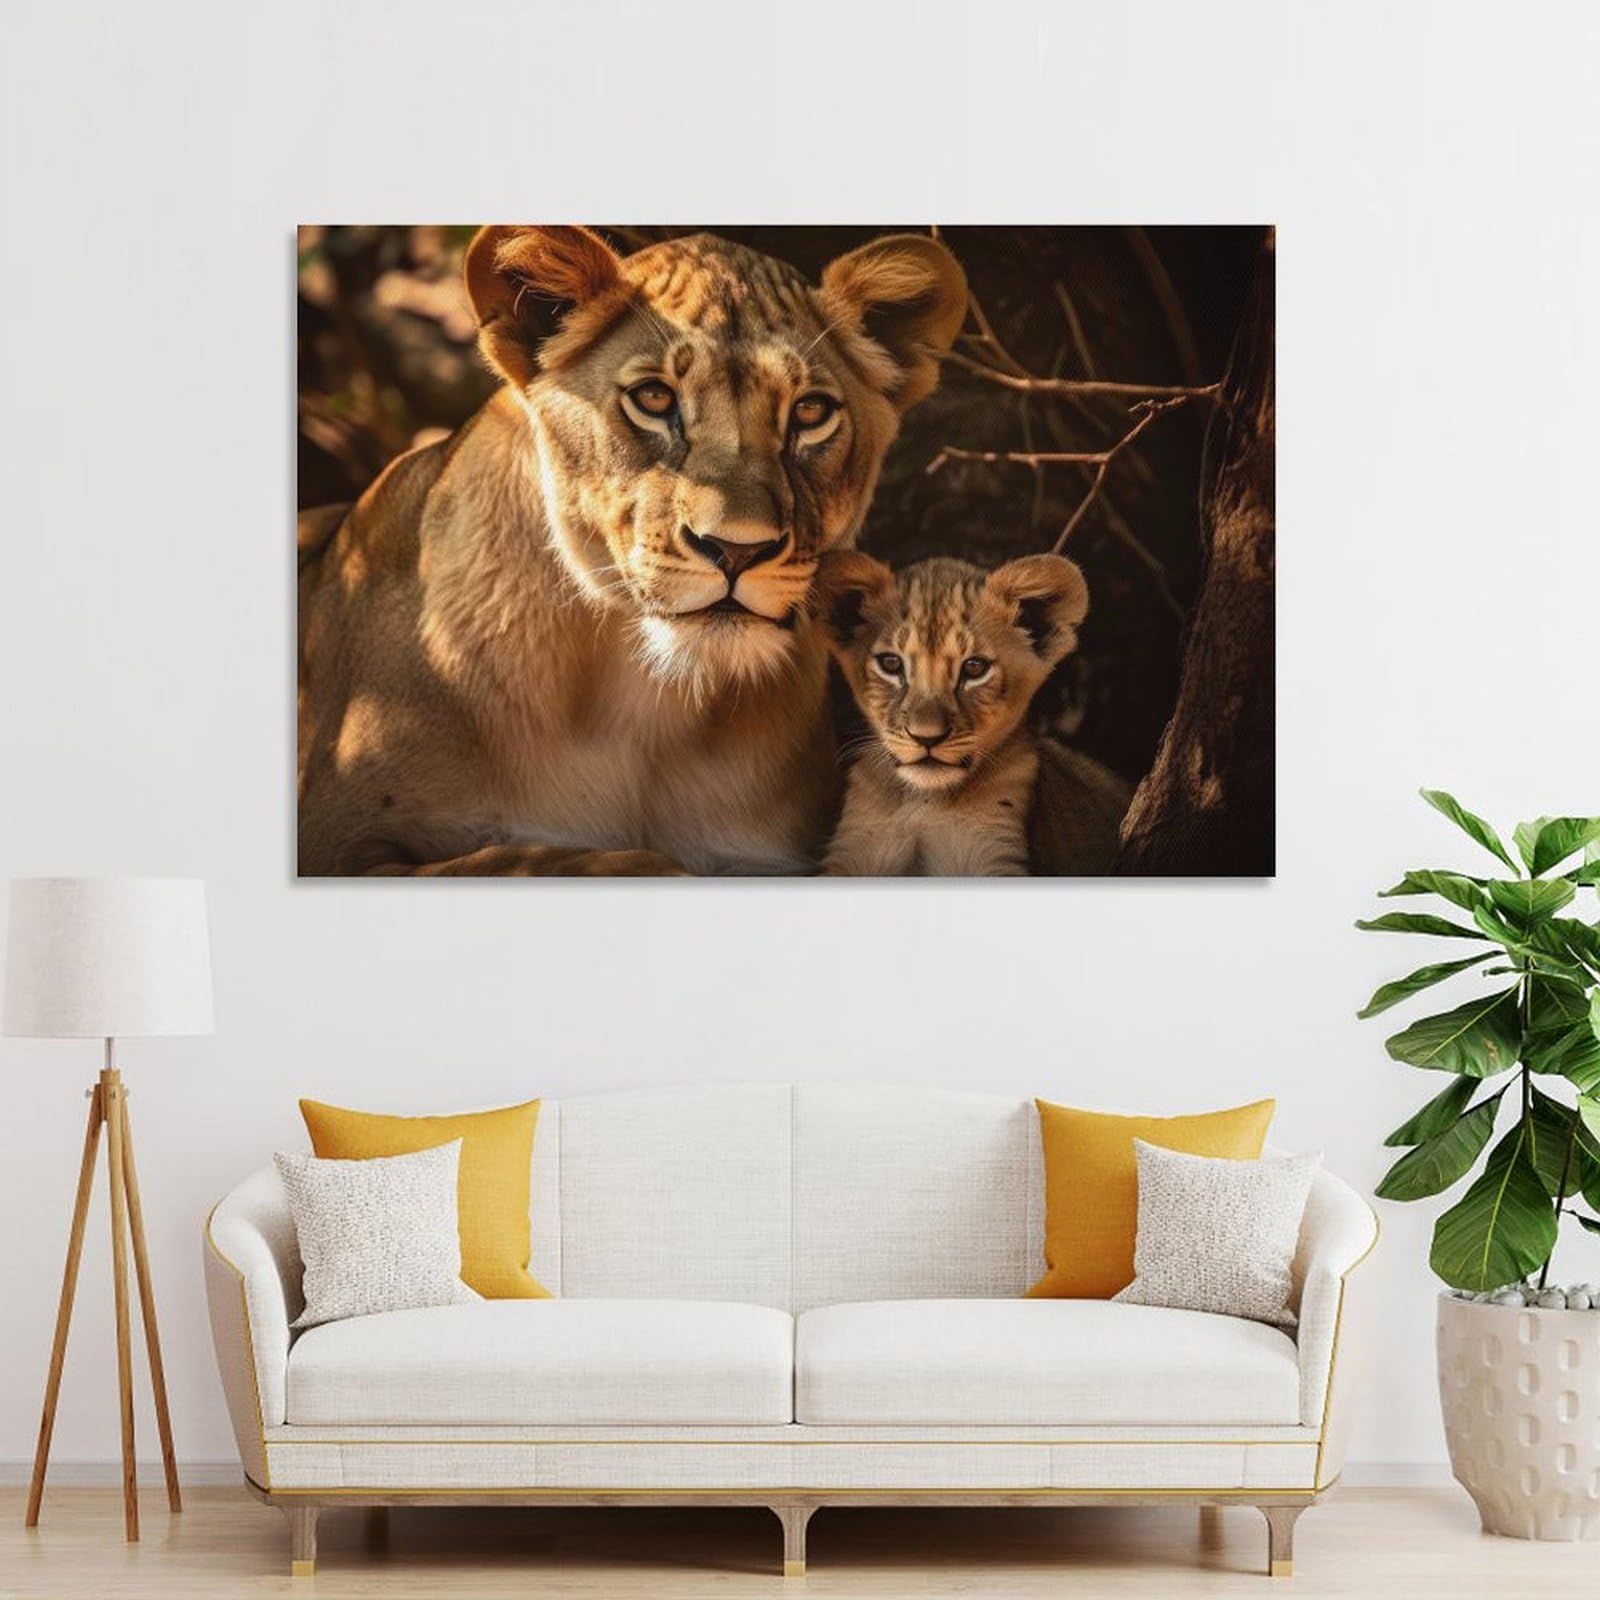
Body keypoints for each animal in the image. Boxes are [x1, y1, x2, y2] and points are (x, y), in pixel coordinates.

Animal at [297, 227, 968, 875]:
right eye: (653, 399)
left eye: (810, 411)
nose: (736, 549)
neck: (639, 703)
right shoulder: (342, 842)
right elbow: (541, 857)